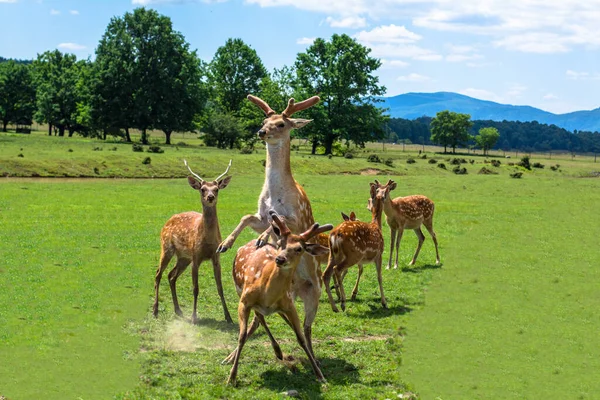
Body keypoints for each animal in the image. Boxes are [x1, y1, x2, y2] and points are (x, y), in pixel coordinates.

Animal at [152, 159, 232, 324]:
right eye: (202, 189)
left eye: (216, 189)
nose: (210, 197)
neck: (208, 242)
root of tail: (167, 222)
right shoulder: (196, 256)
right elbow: (195, 288)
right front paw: (194, 317)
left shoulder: (216, 257)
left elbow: (220, 288)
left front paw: (228, 317)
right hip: (167, 248)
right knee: (158, 274)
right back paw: (155, 310)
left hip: (183, 257)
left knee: (171, 276)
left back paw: (178, 310)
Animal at [216, 94, 326, 356]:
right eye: (264, 120)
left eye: (282, 124)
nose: (261, 131)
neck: (275, 195)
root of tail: (300, 288)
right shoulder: (260, 215)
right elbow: (246, 217)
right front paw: (225, 244)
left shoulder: (298, 218)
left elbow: (282, 220)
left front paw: (263, 239)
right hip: (288, 293)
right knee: (260, 319)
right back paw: (231, 356)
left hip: (314, 293)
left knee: (306, 328)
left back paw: (313, 357)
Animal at [224, 211, 330, 386]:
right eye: (281, 243)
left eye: (299, 248)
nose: (280, 259)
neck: (267, 294)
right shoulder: (244, 302)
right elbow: (241, 336)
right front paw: (232, 377)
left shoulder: (289, 305)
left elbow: (301, 337)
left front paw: (320, 375)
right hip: (239, 290)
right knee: (258, 320)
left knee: (266, 319)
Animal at [324, 184, 390, 312]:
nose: (368, 207)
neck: (377, 226)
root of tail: (335, 234)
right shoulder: (379, 254)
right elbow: (379, 277)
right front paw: (384, 302)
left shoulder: (362, 260)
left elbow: (361, 271)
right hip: (353, 254)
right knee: (337, 269)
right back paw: (343, 302)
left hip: (333, 254)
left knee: (326, 274)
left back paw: (335, 307)